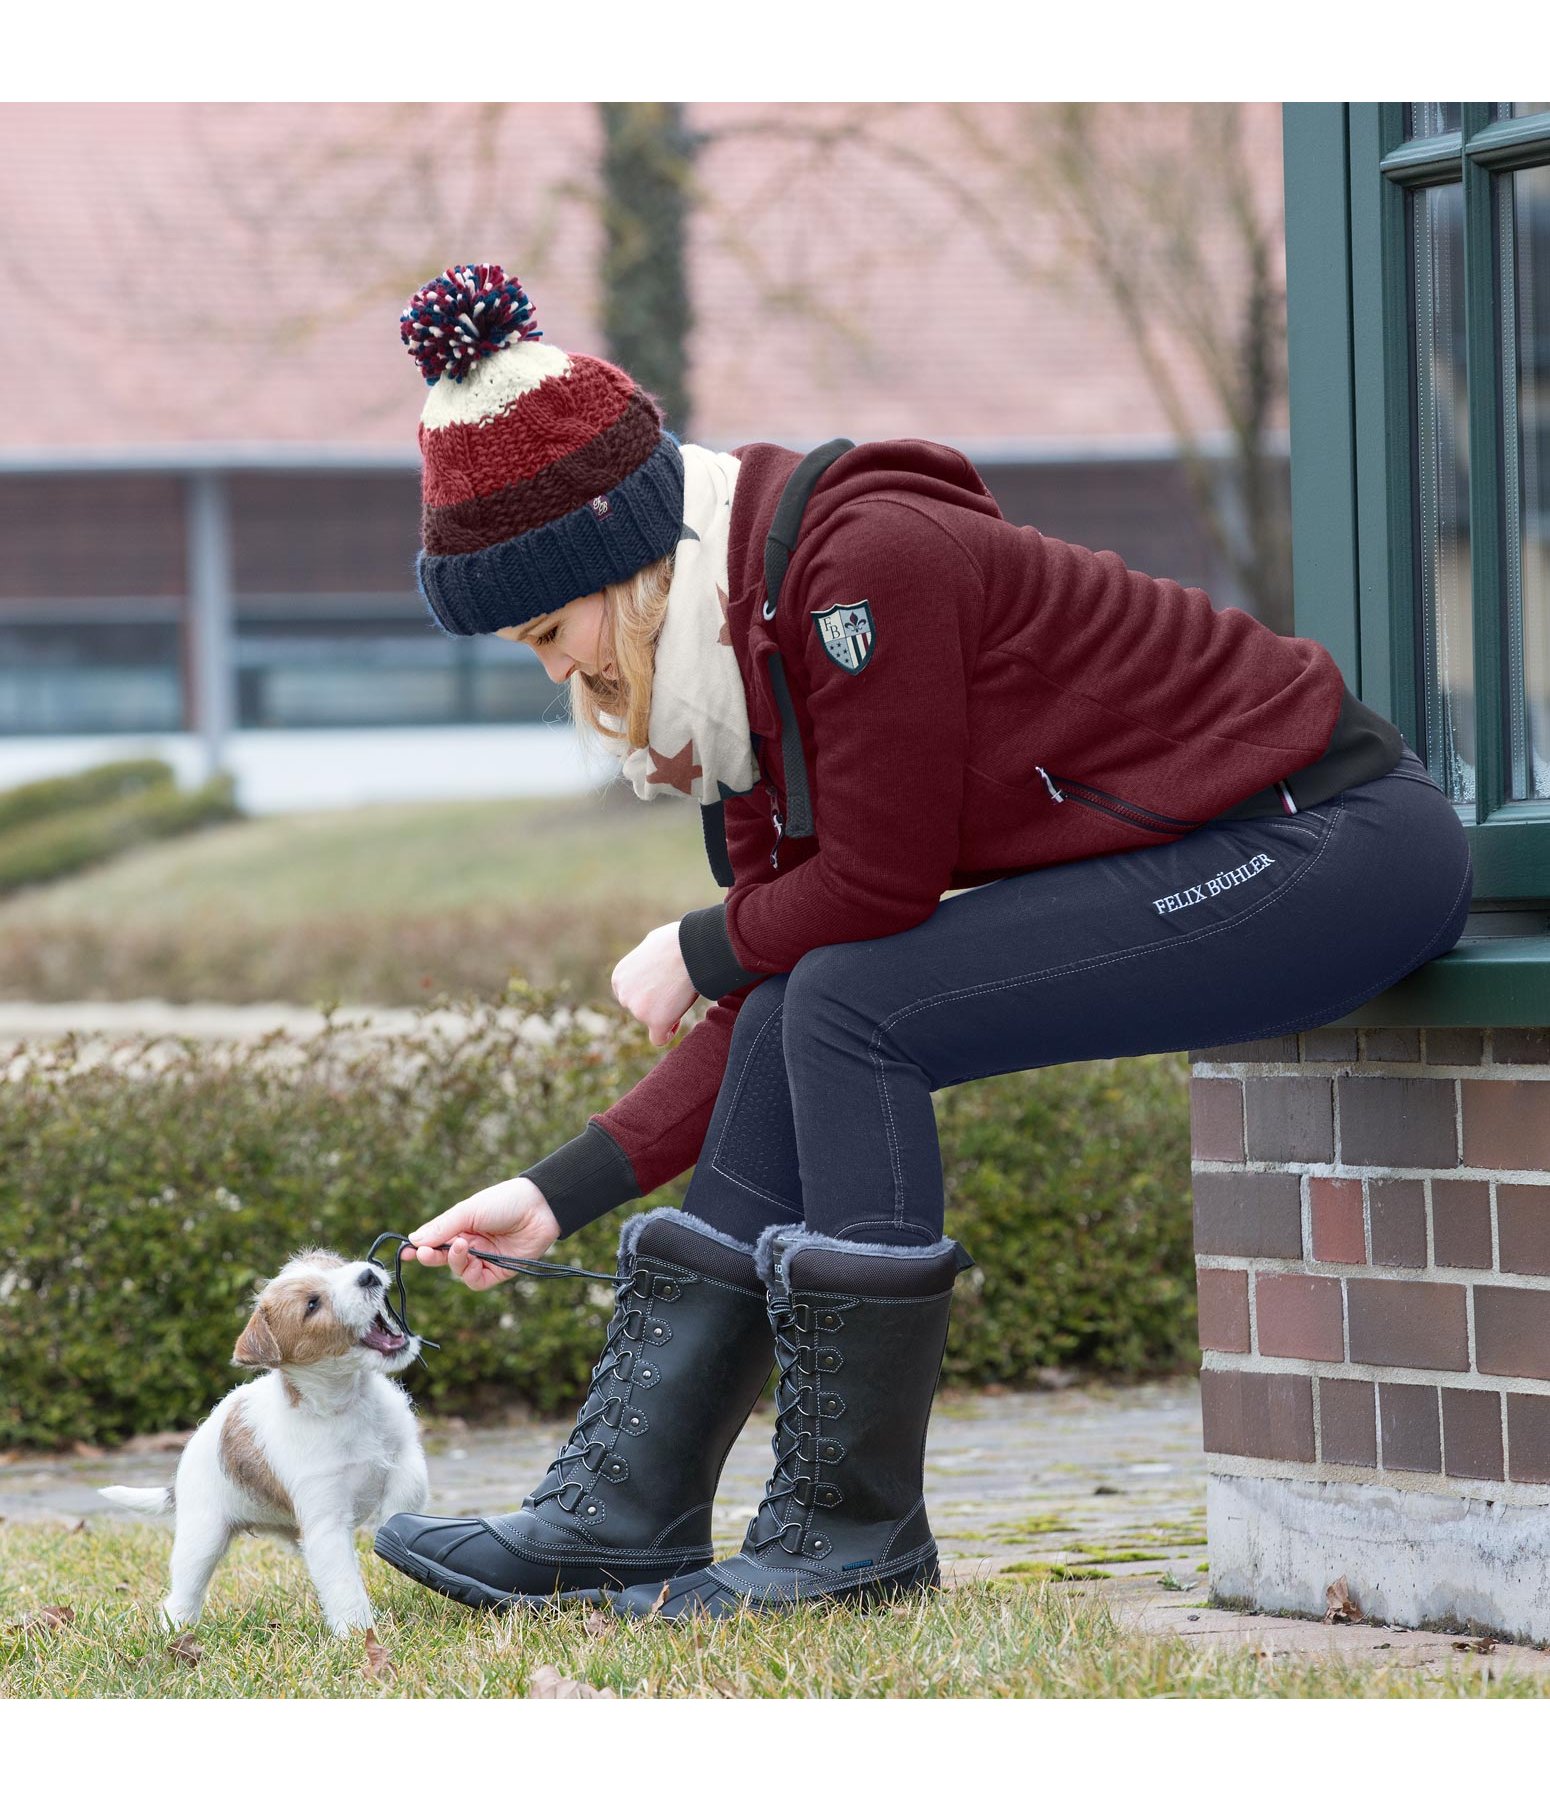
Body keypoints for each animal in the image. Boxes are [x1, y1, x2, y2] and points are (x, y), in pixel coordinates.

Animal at [100, 1245, 430, 1641]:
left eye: (337, 1266)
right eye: (312, 1304)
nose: (367, 1274)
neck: (346, 1401)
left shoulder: (406, 1452)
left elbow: (407, 1491)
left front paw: (397, 1529)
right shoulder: (326, 1522)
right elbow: (342, 1583)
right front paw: (357, 1632)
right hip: (203, 1536)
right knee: (183, 1592)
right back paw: (176, 1629)